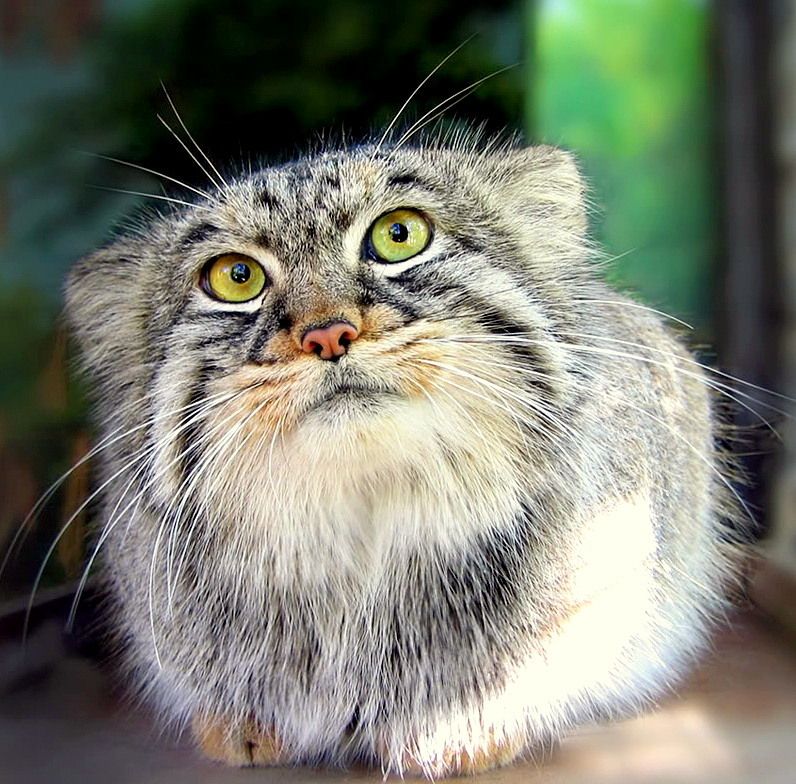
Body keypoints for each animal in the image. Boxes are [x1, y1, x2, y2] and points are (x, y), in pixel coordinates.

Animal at [65, 136, 736, 776]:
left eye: (400, 235)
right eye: (236, 277)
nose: (327, 333)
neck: (367, 536)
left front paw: (466, 726)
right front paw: (247, 722)